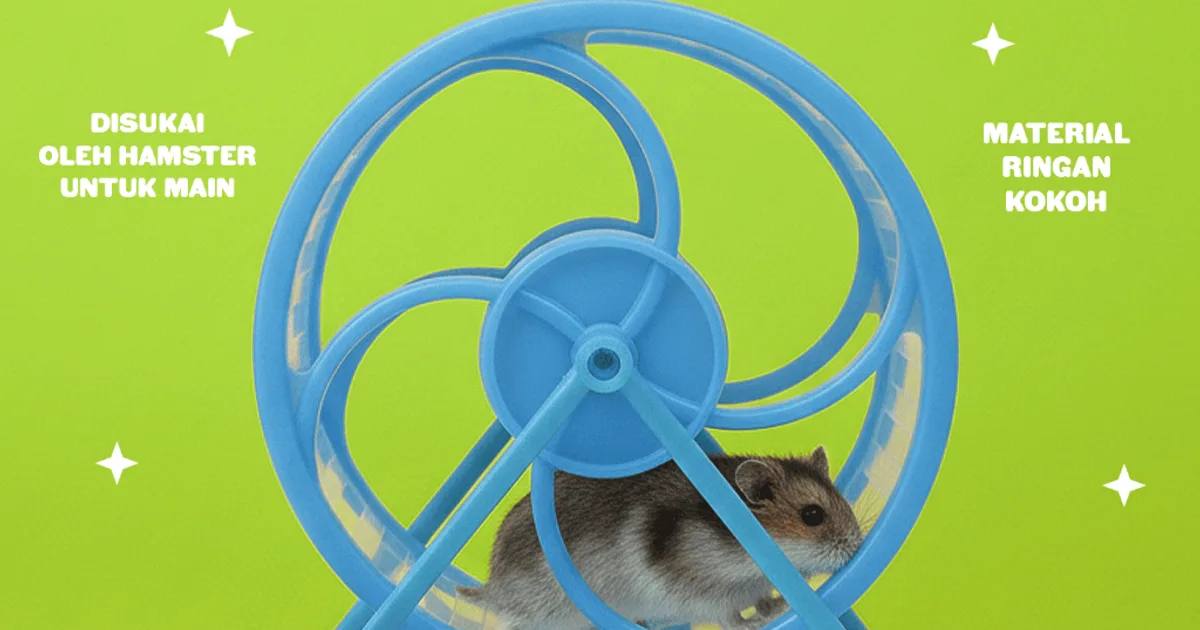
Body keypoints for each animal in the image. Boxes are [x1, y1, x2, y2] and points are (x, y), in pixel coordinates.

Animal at [459, 447, 862, 629]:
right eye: (812, 516)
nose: (857, 546)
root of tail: (491, 588)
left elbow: (761, 599)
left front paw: (776, 604)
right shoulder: (701, 597)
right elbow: (733, 620)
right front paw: (770, 616)